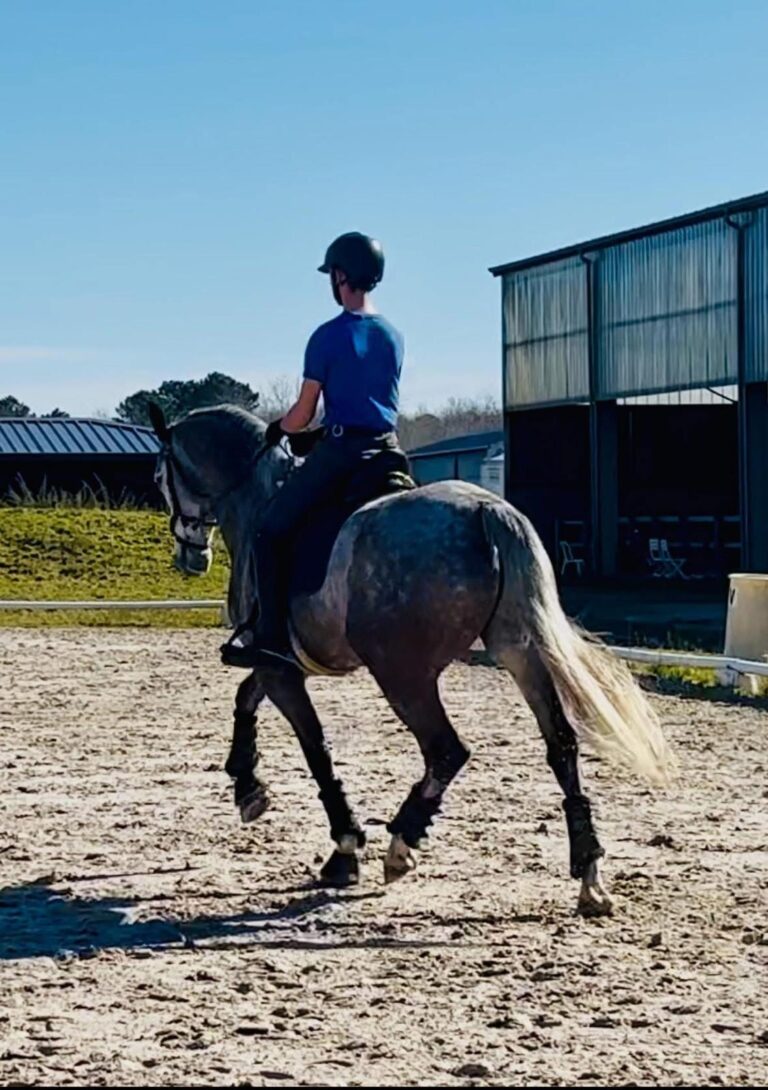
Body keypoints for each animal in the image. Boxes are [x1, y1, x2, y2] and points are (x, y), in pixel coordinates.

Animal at [149, 402, 675, 916]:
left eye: (158, 476)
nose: (190, 559)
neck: (257, 496)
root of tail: (487, 510)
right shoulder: (281, 663)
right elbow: (245, 700)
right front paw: (248, 787)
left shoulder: (277, 665)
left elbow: (313, 746)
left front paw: (343, 846)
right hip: (519, 652)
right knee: (561, 745)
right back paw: (589, 874)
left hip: (403, 674)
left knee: (447, 750)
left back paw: (402, 843)